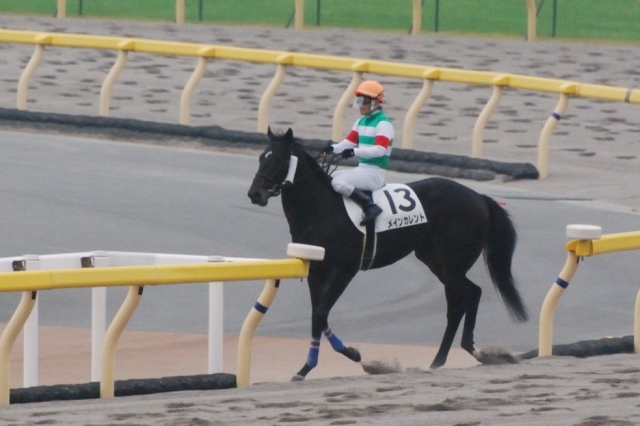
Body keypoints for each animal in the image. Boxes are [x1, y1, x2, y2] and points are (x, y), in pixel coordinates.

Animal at [247, 127, 528, 380]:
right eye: (261, 157)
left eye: (278, 159)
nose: (254, 194)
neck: (321, 209)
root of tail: (479, 197)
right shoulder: (316, 272)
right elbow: (319, 317)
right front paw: (309, 367)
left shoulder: (343, 271)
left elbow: (320, 315)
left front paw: (352, 355)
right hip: (435, 260)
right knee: (471, 293)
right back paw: (465, 352)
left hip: (452, 263)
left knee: (461, 299)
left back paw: (446, 357)